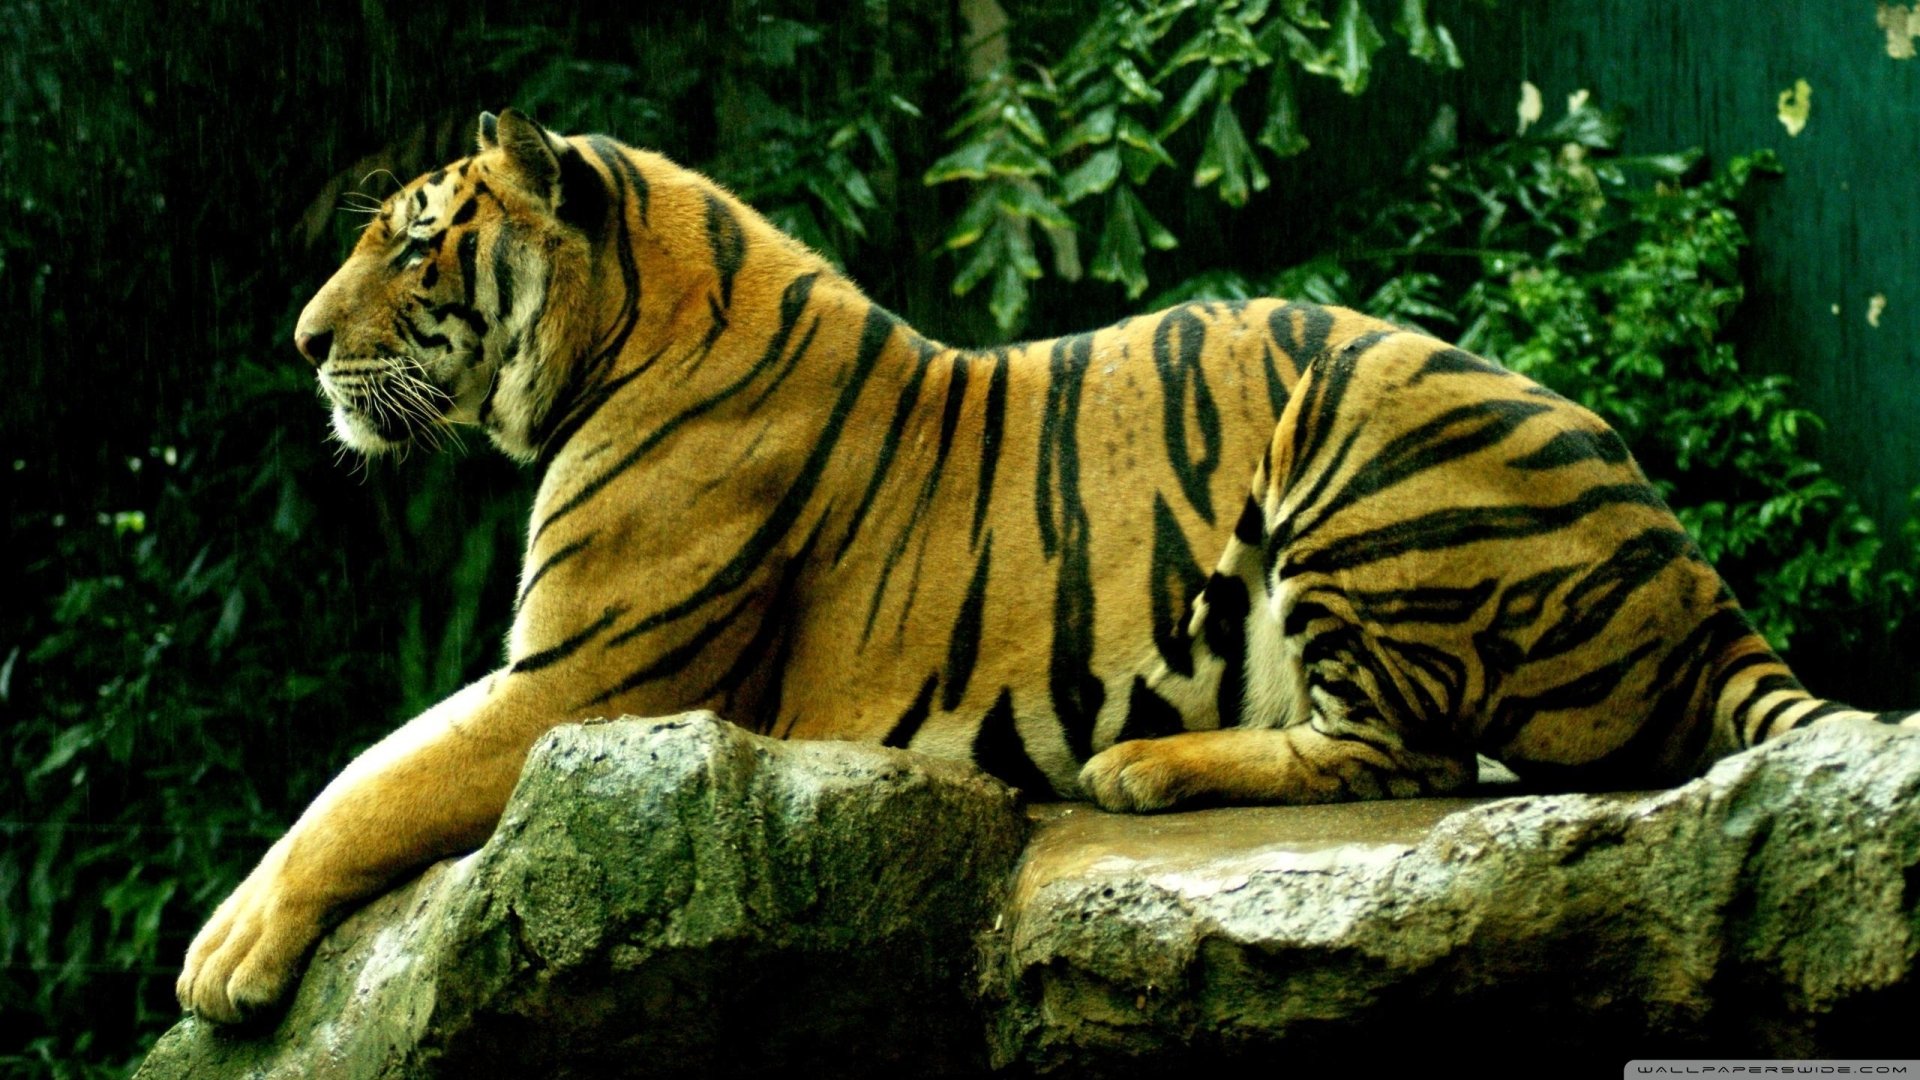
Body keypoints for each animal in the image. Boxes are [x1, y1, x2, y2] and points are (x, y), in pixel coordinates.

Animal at [176, 108, 1917, 1024]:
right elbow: (367, 767)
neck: (622, 336)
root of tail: (1693, 573)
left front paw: (223, 957)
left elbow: (368, 786)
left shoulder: (583, 684)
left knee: (1413, 755)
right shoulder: (559, 676)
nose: (302, 344)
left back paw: (1140, 770)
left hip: (1363, 425)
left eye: (415, 242)